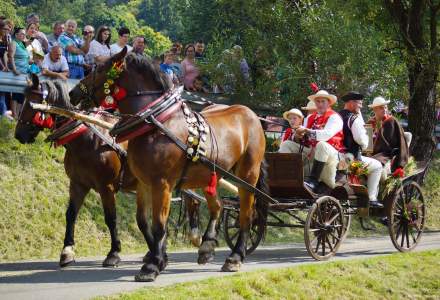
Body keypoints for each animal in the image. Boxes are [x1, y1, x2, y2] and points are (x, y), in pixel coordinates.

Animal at [14, 75, 137, 268]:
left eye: (32, 103)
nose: (19, 134)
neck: (87, 139)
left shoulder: (106, 187)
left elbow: (111, 218)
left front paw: (114, 253)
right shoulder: (78, 184)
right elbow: (71, 214)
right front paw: (67, 251)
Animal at [69, 48, 268, 282]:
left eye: (100, 68)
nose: (72, 93)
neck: (155, 123)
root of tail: (252, 114)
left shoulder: (161, 184)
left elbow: (158, 224)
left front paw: (152, 265)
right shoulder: (145, 183)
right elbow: (145, 221)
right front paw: (159, 258)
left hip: (248, 175)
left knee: (246, 213)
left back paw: (235, 257)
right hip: (209, 175)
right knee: (218, 206)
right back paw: (206, 246)